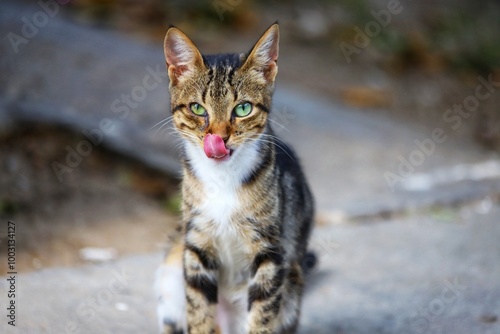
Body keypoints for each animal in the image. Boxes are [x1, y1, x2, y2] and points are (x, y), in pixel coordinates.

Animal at [155, 23, 316, 334]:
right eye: (197, 109)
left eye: (243, 109)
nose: (219, 137)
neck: (222, 178)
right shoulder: (197, 244)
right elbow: (199, 310)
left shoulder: (270, 250)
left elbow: (262, 314)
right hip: (171, 271)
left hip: (291, 286)